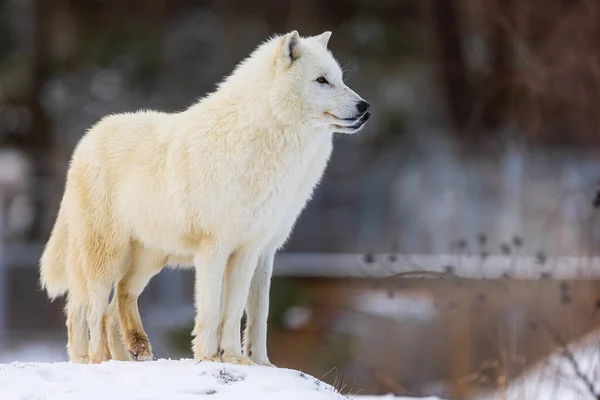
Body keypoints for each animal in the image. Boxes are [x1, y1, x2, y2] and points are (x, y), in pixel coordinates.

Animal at [38, 30, 370, 366]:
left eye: (340, 79)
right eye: (322, 80)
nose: (365, 108)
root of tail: (86, 139)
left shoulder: (255, 249)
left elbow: (246, 313)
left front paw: (246, 360)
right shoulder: (214, 246)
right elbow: (211, 311)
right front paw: (209, 358)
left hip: (149, 259)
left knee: (116, 301)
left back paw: (132, 353)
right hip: (107, 257)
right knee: (89, 311)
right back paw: (96, 361)